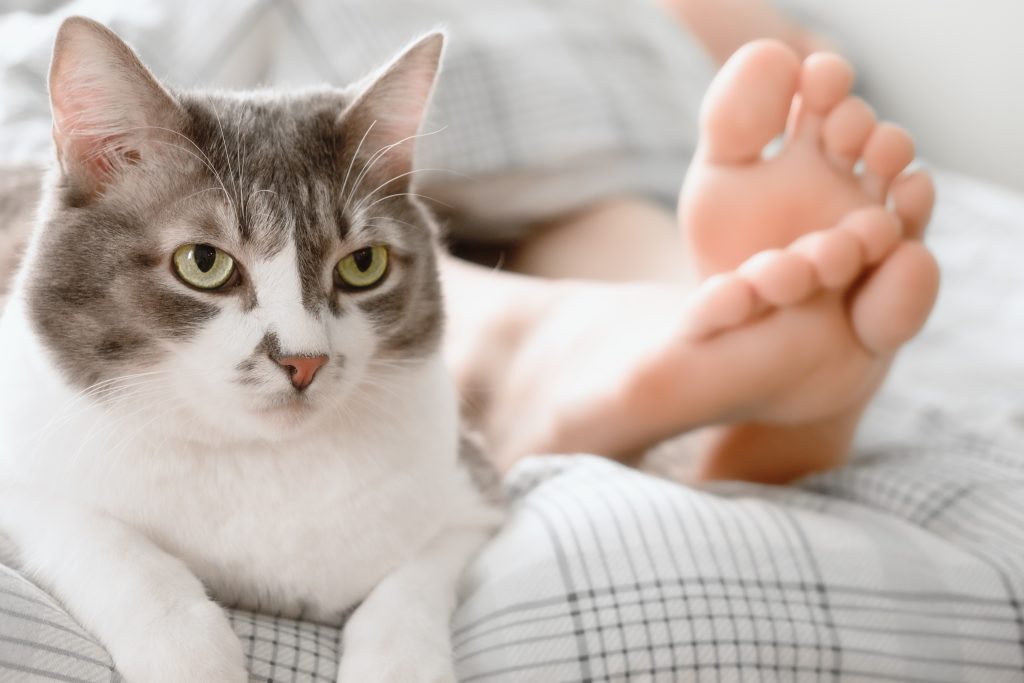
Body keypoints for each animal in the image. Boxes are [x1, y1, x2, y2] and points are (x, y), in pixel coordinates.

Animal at [0, 15, 499, 683]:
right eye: (203, 262)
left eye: (364, 265)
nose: (305, 361)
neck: (255, 456)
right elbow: (102, 537)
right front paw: (189, 651)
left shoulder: (472, 496)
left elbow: (411, 582)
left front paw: (399, 663)